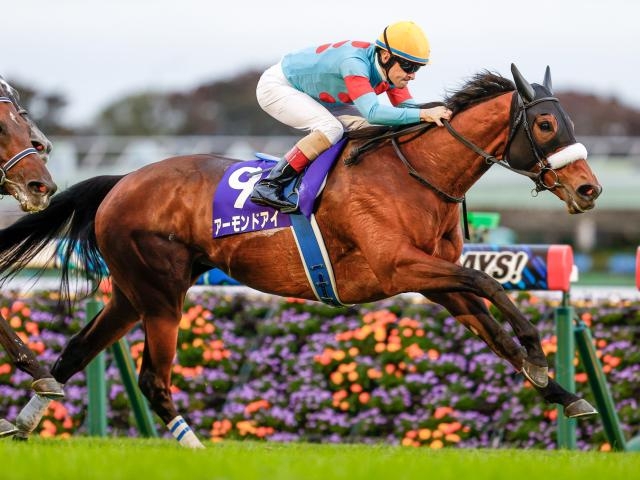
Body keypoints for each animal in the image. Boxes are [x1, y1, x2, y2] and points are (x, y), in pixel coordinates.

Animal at [0, 65, 601, 447]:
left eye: (571, 123)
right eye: (545, 124)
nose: (590, 188)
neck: (416, 174)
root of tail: (122, 181)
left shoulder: (436, 282)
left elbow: (494, 329)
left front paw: (561, 391)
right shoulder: (401, 267)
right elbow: (495, 287)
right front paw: (539, 354)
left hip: (132, 293)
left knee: (75, 352)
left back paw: (27, 418)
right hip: (161, 293)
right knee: (154, 380)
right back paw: (195, 449)